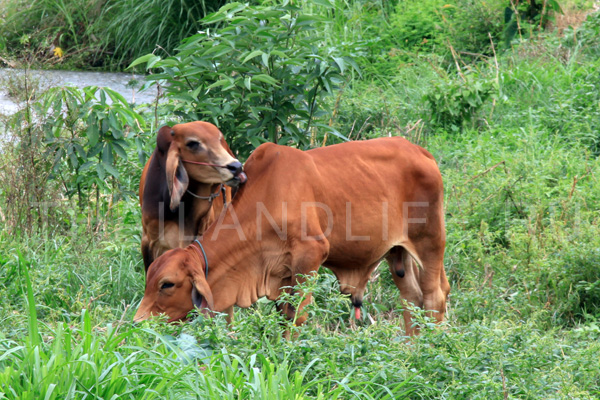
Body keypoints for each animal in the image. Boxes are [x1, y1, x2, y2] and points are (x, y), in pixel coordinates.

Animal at [134, 137, 448, 334]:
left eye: (167, 284)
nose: (138, 322)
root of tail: (422, 152)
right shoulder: (280, 273)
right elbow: (284, 315)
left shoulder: (310, 257)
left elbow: (297, 317)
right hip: (398, 252)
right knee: (412, 298)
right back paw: (410, 348)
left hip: (430, 241)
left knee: (434, 296)